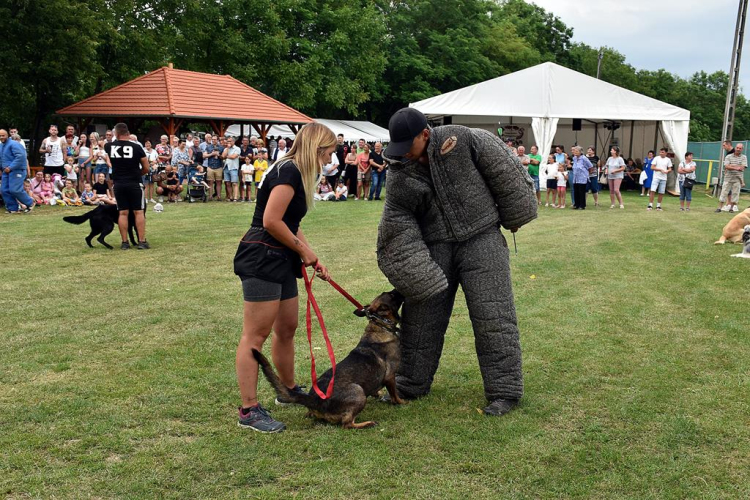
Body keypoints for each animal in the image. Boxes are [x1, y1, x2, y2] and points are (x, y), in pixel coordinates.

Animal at [253, 292, 406, 428]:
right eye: (392, 295)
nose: (398, 290)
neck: (380, 325)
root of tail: (314, 399)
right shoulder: (390, 376)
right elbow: (395, 395)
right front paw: (402, 402)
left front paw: (378, 394)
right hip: (358, 391)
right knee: (347, 424)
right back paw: (367, 423)